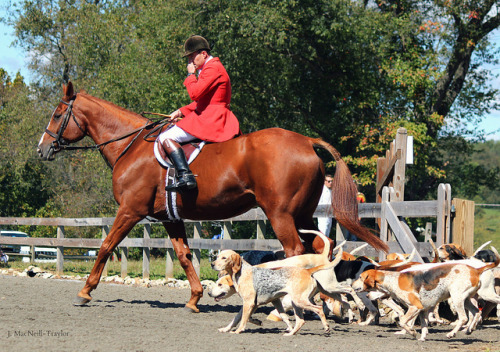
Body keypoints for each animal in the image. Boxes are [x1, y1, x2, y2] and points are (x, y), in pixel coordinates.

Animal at [38, 83, 386, 314]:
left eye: (57, 115)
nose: (42, 149)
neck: (131, 146)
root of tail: (305, 141)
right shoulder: (169, 217)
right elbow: (183, 255)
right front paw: (194, 298)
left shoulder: (130, 210)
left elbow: (106, 246)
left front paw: (85, 291)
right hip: (302, 215)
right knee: (317, 250)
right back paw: (326, 301)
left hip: (281, 214)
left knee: (295, 252)